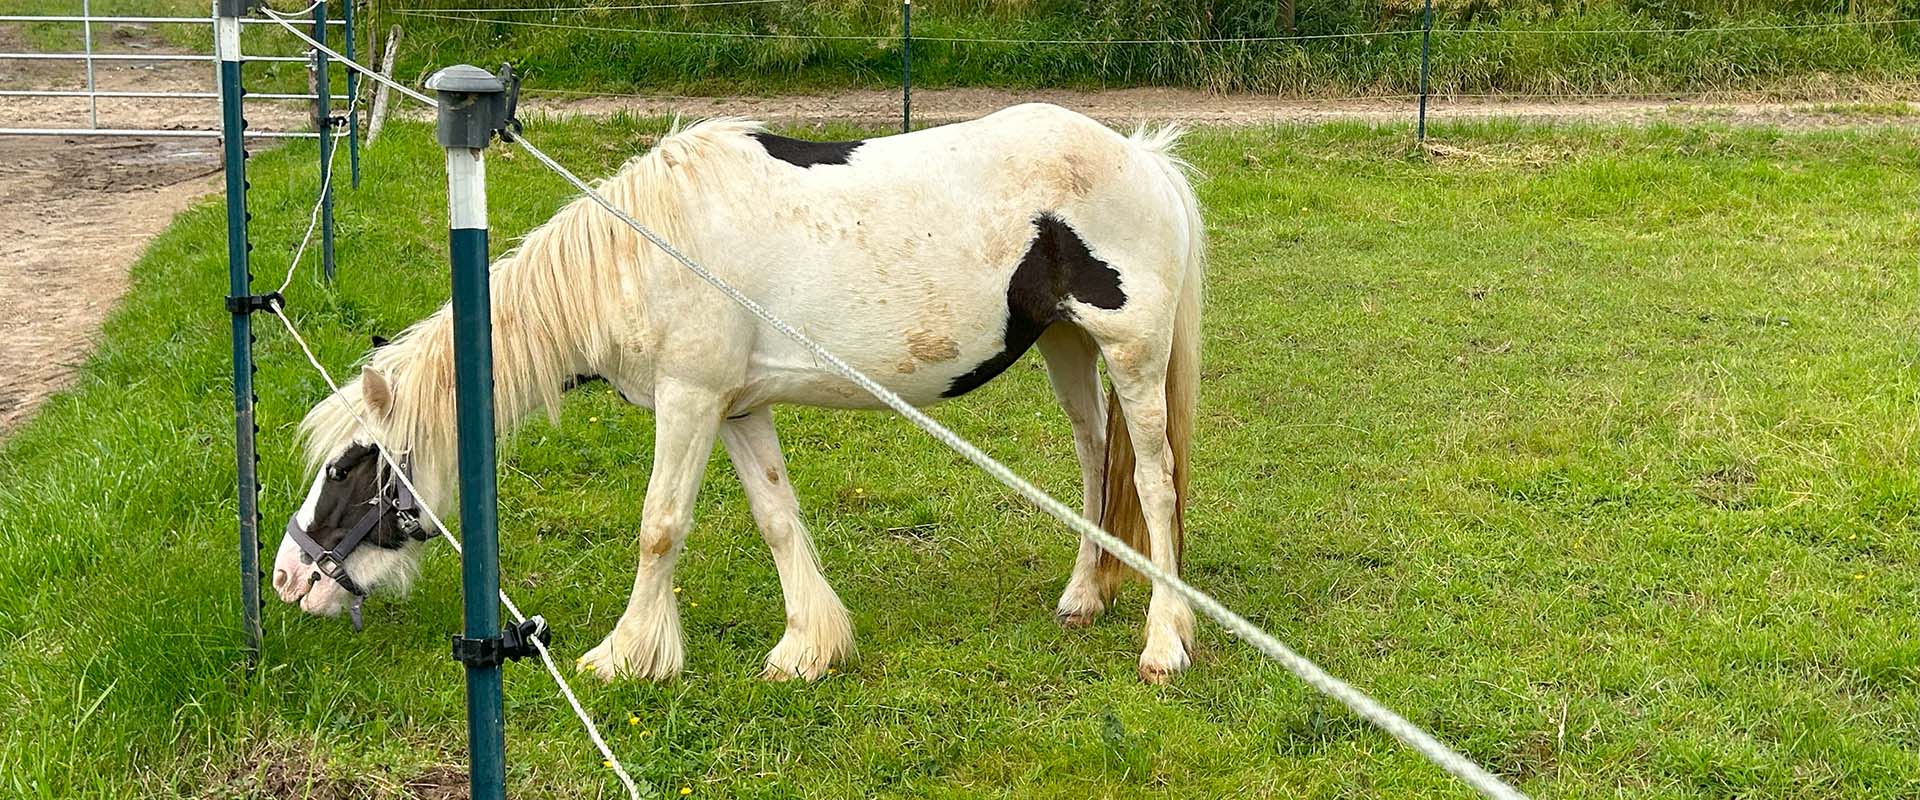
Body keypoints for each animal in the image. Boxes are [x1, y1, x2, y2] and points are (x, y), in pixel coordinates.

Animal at [270, 103, 1206, 683]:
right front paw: (808, 648)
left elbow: (659, 526)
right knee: (1095, 463)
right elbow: (777, 516)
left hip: (1131, 354)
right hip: (1067, 349)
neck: (644, 252)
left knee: (1153, 484)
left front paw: (626, 656)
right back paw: (1084, 596)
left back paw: (1165, 640)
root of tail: (1144, 158)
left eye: (351, 468)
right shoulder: (738, 407)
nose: (288, 578)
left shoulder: (689, 401)